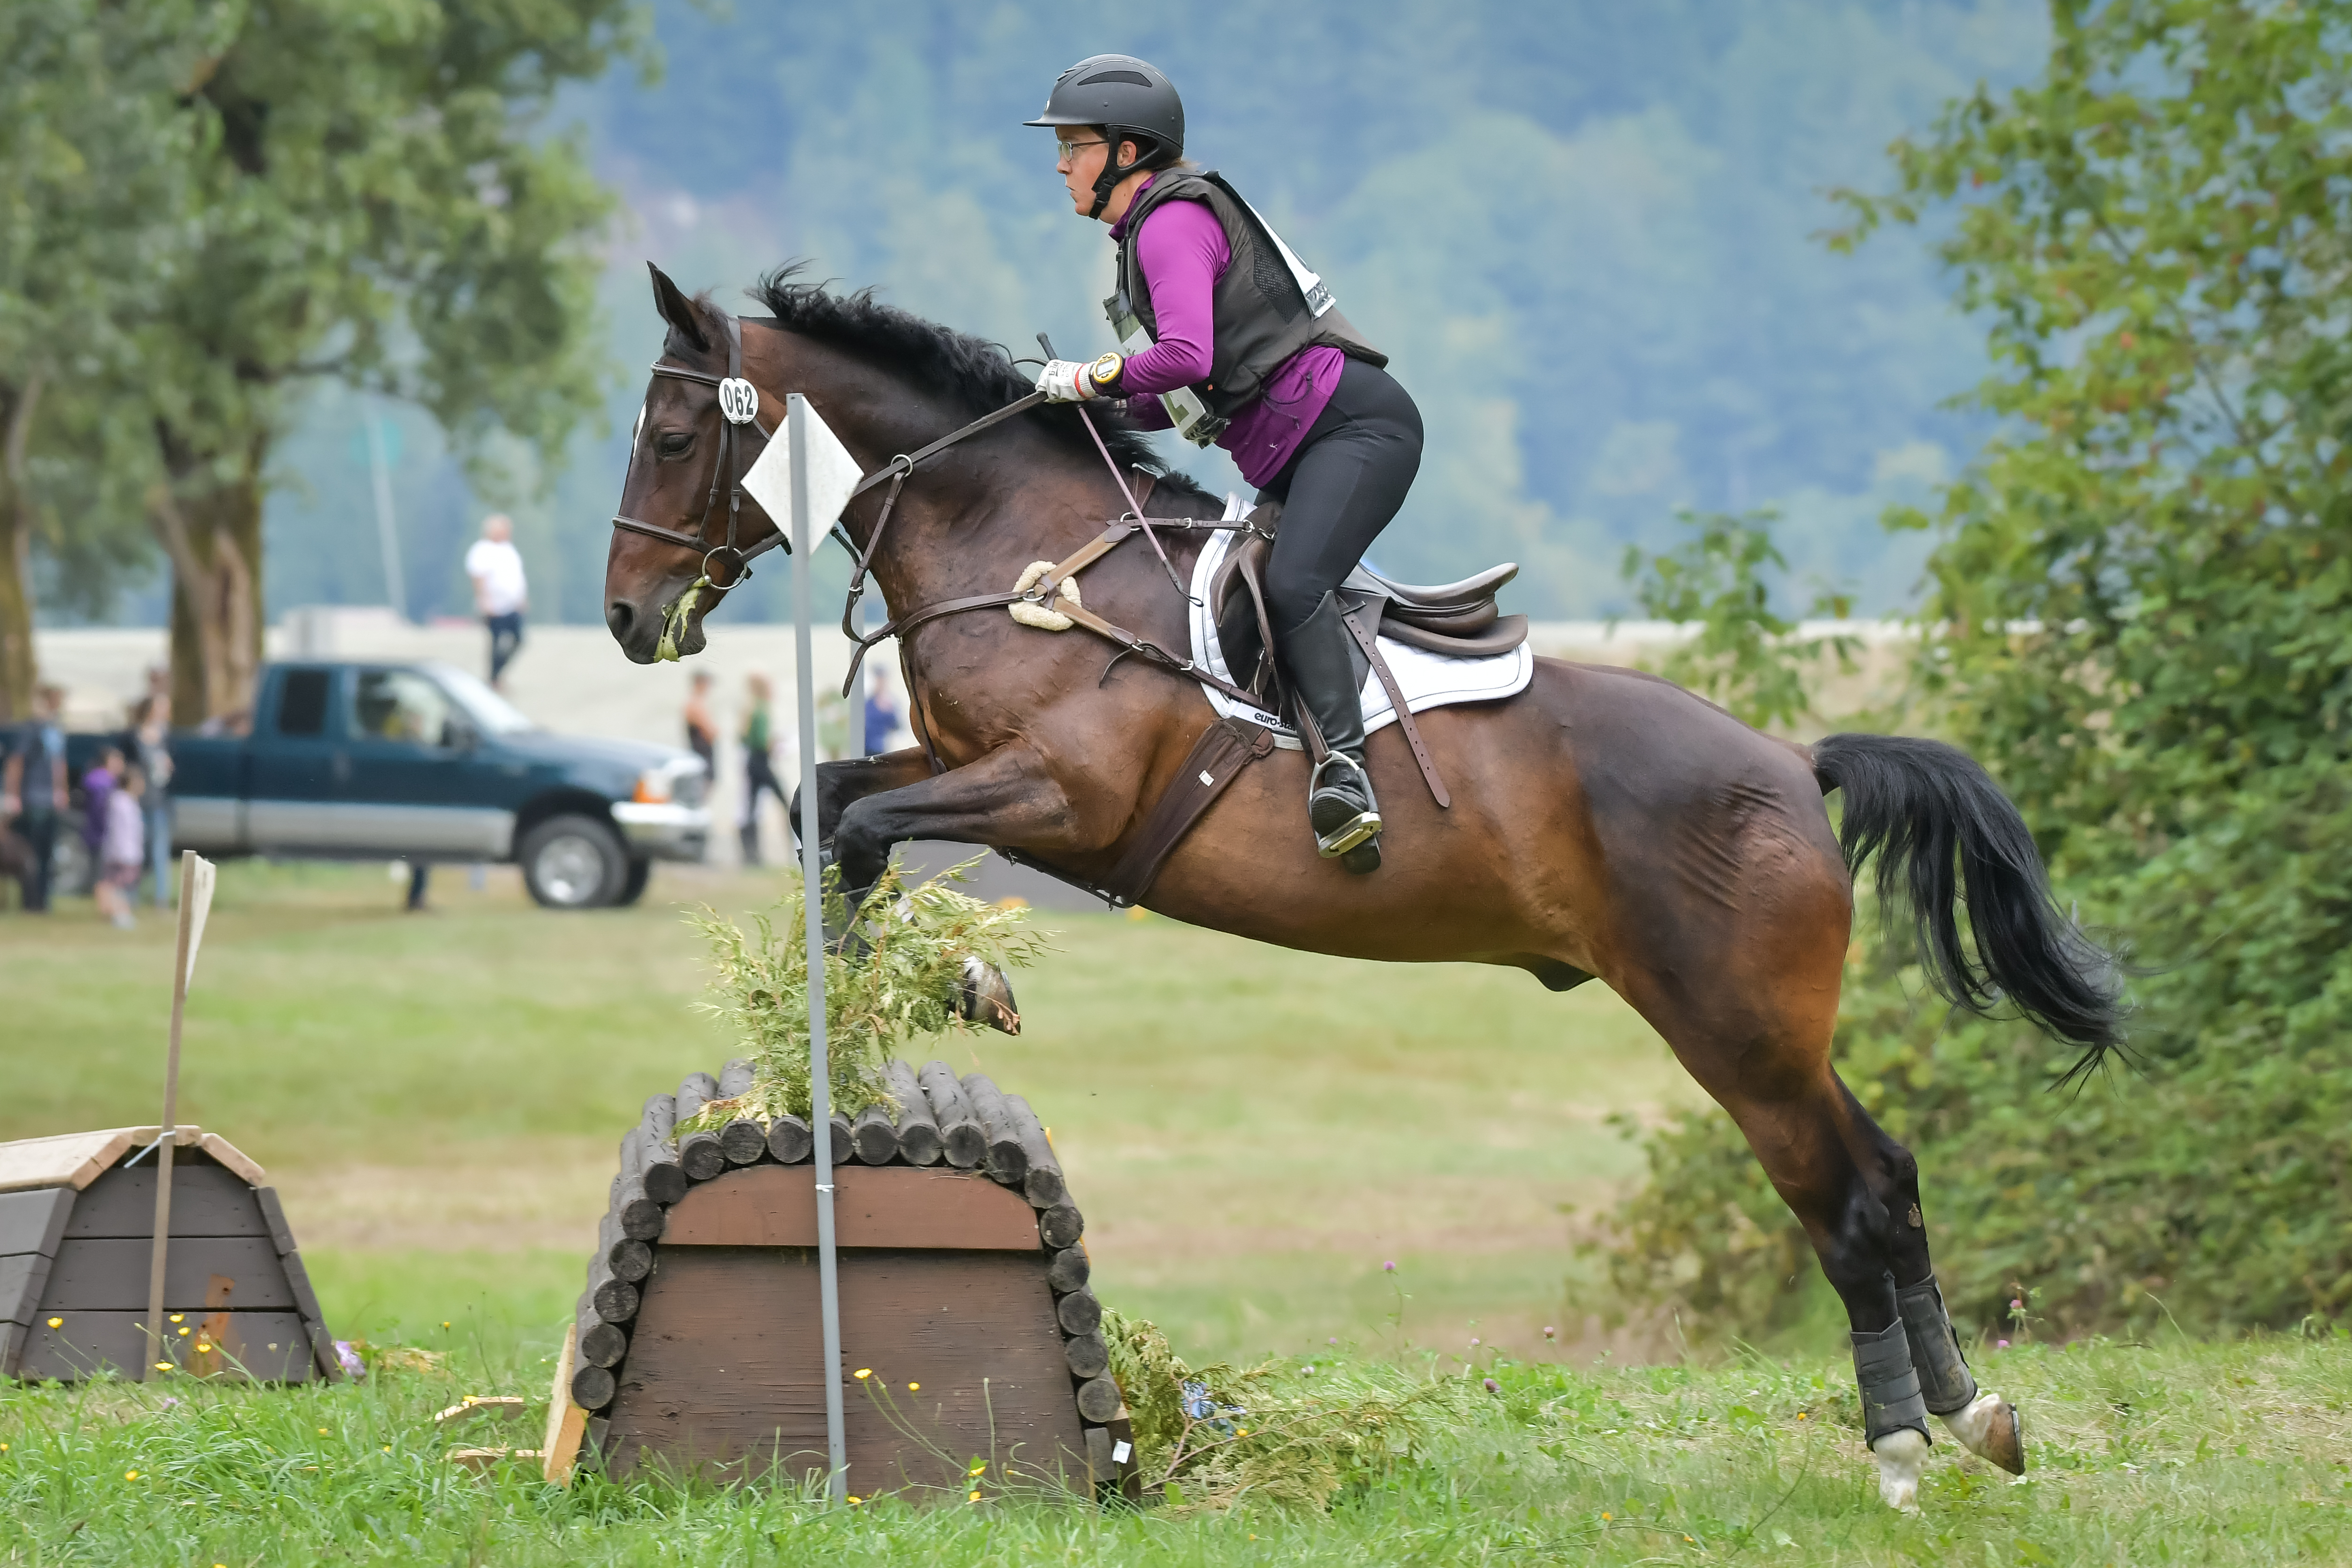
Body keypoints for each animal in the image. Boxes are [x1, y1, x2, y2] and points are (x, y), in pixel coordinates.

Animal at [611, 266, 2135, 1504]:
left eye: (675, 438)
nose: (629, 619)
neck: (1023, 549)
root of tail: (1794, 761)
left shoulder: (1063, 799)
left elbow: (864, 827)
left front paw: (910, 1004)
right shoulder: (957, 762)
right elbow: (831, 806)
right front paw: (888, 1010)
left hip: (1736, 1031)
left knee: (1847, 1201)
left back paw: (1900, 1450)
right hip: (1772, 1033)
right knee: (1891, 1172)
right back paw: (1977, 1415)